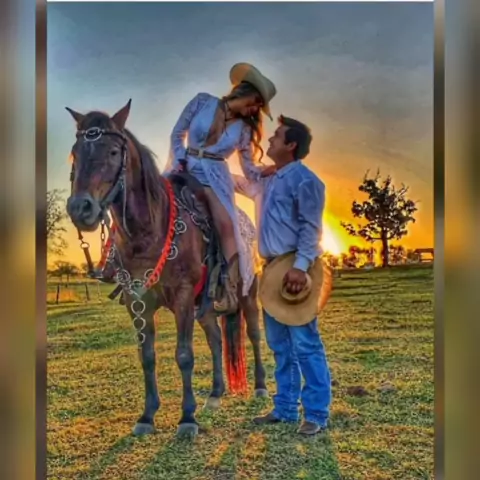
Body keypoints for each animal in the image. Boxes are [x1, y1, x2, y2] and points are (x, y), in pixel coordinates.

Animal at [65, 100, 268, 437]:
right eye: (75, 153)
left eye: (113, 152)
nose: (81, 208)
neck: (149, 230)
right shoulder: (137, 302)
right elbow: (147, 356)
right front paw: (147, 416)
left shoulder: (183, 296)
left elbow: (184, 355)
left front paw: (187, 418)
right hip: (205, 307)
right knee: (215, 339)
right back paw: (215, 394)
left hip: (247, 294)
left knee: (252, 333)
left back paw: (261, 386)